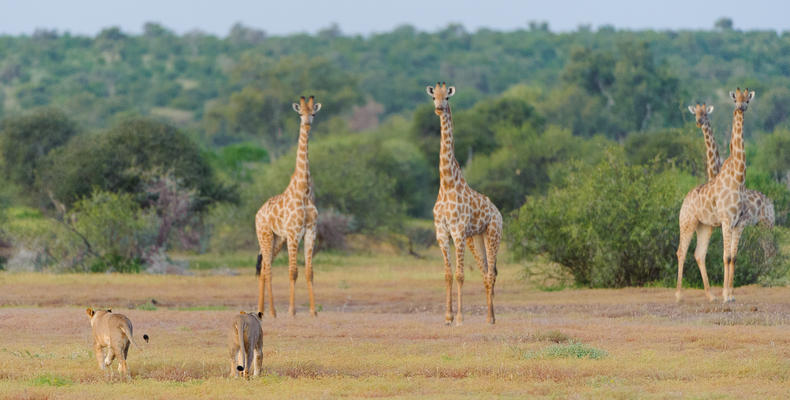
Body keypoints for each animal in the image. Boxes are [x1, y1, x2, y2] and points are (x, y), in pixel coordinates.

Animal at [254, 96, 321, 317]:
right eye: (300, 113)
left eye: (313, 112)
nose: (307, 123)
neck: (304, 192)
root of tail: (258, 213)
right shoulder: (293, 233)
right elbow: (293, 272)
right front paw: (292, 311)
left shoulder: (310, 231)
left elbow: (309, 272)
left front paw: (313, 311)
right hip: (265, 235)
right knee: (267, 269)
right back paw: (272, 312)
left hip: (277, 239)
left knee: (264, 268)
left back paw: (263, 310)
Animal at [427, 82, 503, 325]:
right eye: (434, 97)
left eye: (447, 98)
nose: (439, 108)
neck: (447, 184)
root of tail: (498, 212)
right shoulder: (442, 231)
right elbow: (448, 275)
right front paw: (448, 317)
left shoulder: (457, 230)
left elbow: (460, 275)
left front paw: (459, 317)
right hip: (475, 238)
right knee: (486, 272)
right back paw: (491, 316)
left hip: (493, 234)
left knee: (490, 273)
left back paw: (490, 318)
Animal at [676, 103, 775, 302]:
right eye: (695, 113)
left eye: (705, 114)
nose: (699, 122)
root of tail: (771, 203)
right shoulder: (718, 224)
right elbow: (726, 255)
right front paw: (727, 292)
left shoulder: (733, 223)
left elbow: (729, 256)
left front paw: (729, 293)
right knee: (690, 253)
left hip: (766, 224)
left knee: (770, 249)